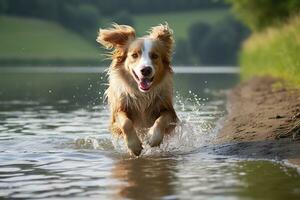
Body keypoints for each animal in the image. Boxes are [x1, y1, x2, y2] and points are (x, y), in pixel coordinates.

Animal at [97, 23, 178, 156]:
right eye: (134, 55)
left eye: (154, 56)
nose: (146, 70)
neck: (143, 95)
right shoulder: (118, 112)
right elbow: (126, 123)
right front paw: (134, 146)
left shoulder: (170, 112)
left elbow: (161, 119)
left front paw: (153, 137)